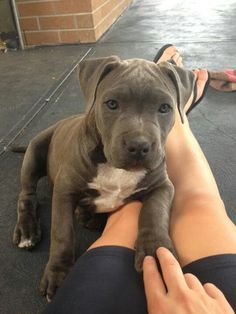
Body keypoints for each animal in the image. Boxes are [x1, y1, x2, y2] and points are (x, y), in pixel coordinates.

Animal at [12, 55, 195, 300]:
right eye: (112, 104)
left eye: (165, 108)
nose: (139, 146)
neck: (114, 167)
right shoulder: (64, 190)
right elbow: (62, 233)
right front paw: (58, 273)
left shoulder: (163, 185)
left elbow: (155, 212)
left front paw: (155, 250)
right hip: (36, 150)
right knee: (27, 195)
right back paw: (27, 230)